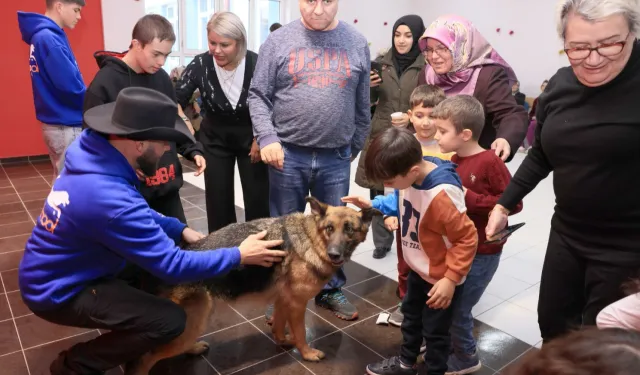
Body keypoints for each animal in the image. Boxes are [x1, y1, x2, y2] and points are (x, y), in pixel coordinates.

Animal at [127, 198, 382, 374]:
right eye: (329, 228)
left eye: (349, 229)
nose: (334, 254)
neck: (312, 239)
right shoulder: (297, 304)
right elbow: (300, 332)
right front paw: (307, 353)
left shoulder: (283, 301)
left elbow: (278, 326)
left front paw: (283, 341)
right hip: (197, 317)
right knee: (144, 358)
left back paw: (193, 348)